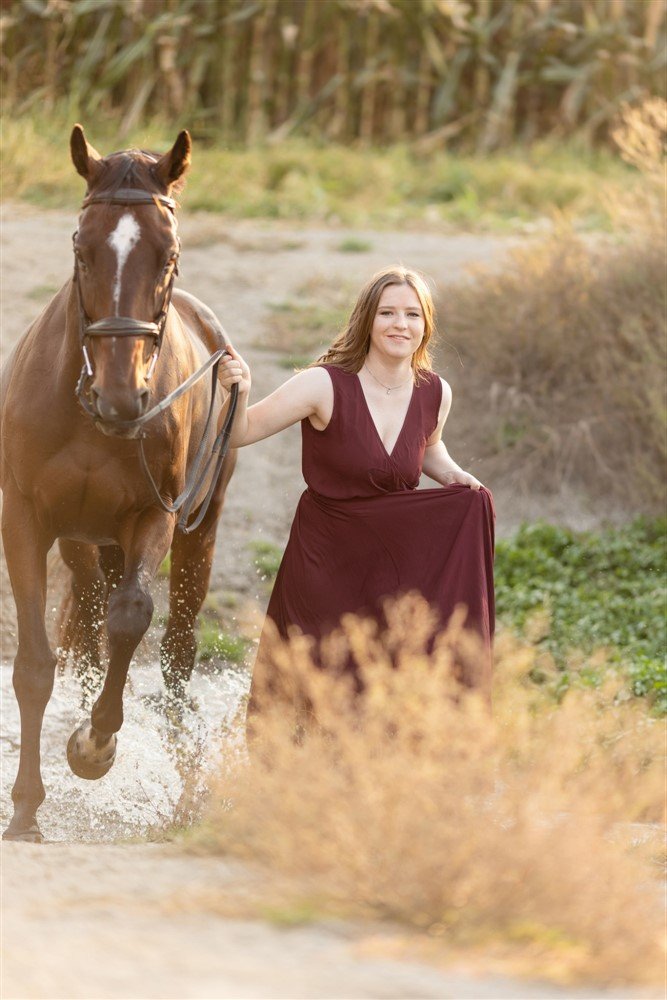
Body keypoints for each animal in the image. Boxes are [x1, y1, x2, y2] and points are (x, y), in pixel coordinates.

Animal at [0, 127, 240, 844]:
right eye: (82, 246)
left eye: (170, 253)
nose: (120, 395)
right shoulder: (25, 520)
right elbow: (36, 665)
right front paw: (26, 810)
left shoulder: (151, 517)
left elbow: (132, 616)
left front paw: (94, 748)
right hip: (85, 543)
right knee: (84, 627)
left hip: (196, 535)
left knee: (176, 657)